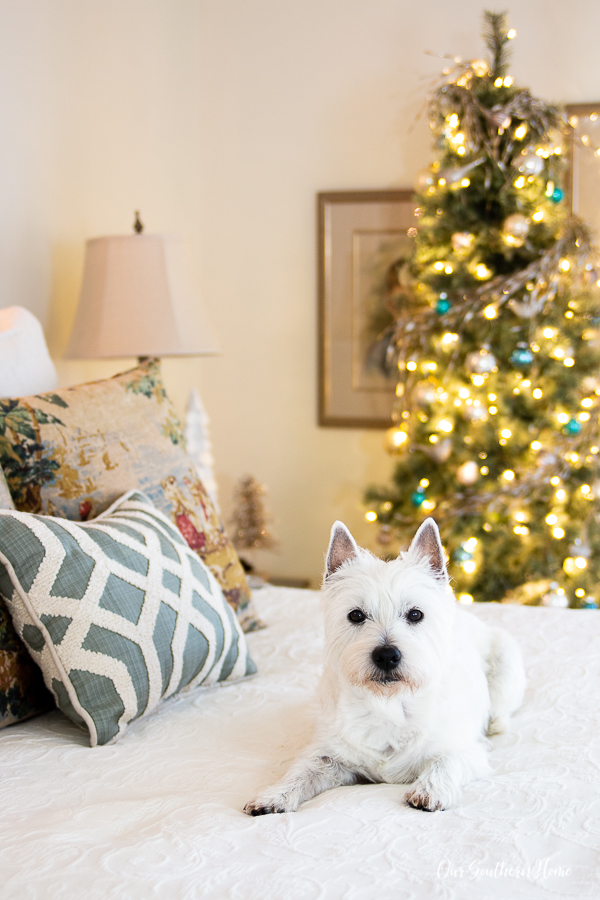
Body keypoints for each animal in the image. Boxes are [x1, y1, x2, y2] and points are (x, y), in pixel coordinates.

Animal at [244, 512, 524, 816]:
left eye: (415, 614)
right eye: (356, 615)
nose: (387, 655)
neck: (389, 704)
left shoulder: (465, 751)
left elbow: (444, 761)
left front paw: (429, 791)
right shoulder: (331, 756)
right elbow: (302, 770)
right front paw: (273, 796)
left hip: (505, 659)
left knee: (501, 713)